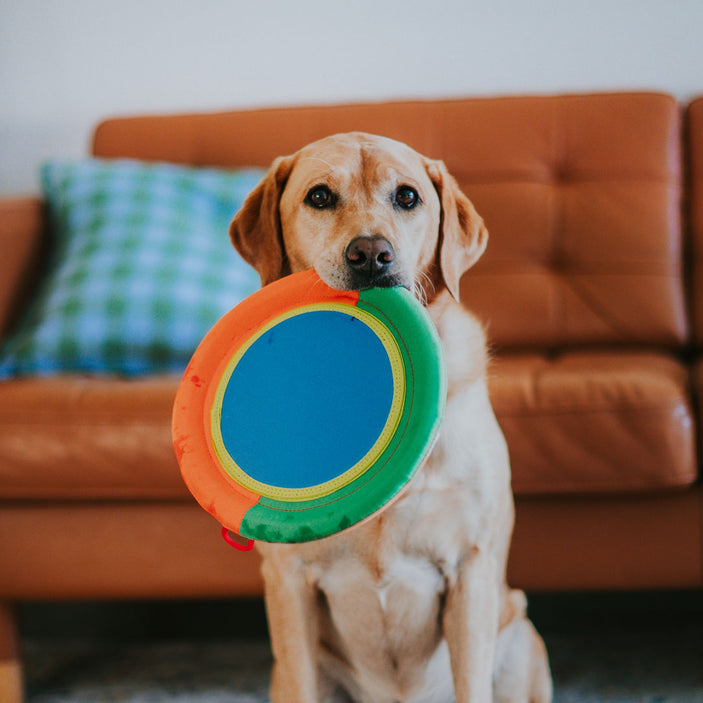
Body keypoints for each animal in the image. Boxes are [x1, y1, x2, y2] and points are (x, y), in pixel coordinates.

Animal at [228, 133, 552, 703]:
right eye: (319, 197)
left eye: (407, 197)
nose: (372, 255)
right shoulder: (289, 582)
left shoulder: (471, 571)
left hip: (519, 637)